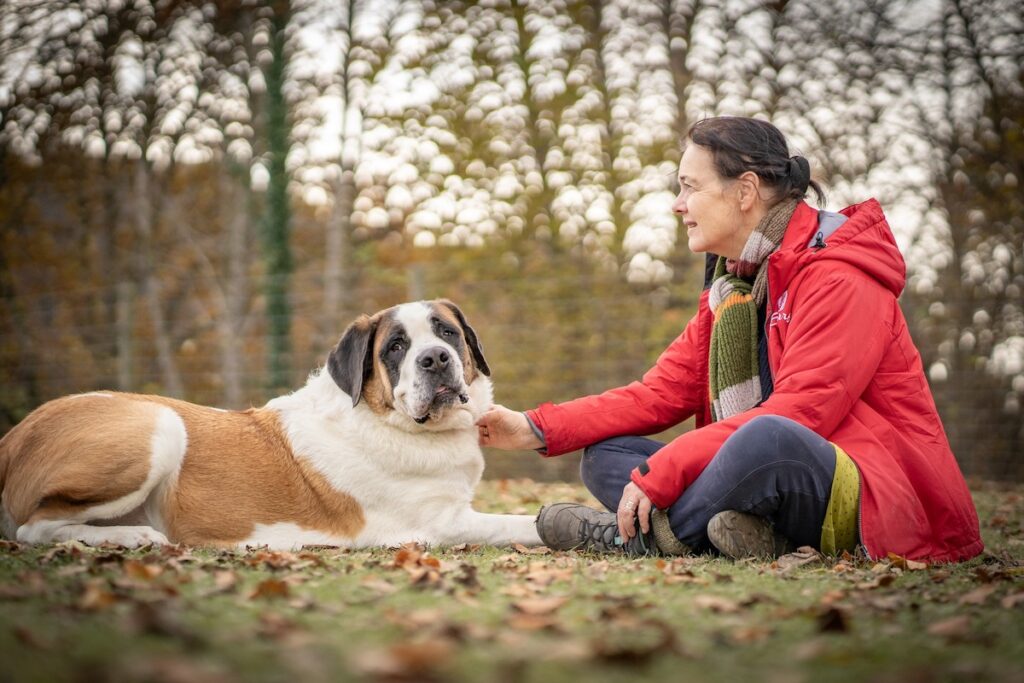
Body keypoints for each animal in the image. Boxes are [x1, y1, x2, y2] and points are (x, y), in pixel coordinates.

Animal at [0, 299, 544, 548]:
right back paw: (134, 538)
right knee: (33, 528)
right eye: (396, 347)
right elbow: (520, 522)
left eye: (446, 333)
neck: (385, 420)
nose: (435, 359)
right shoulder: (440, 525)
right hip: (161, 427)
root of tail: (17, 433)